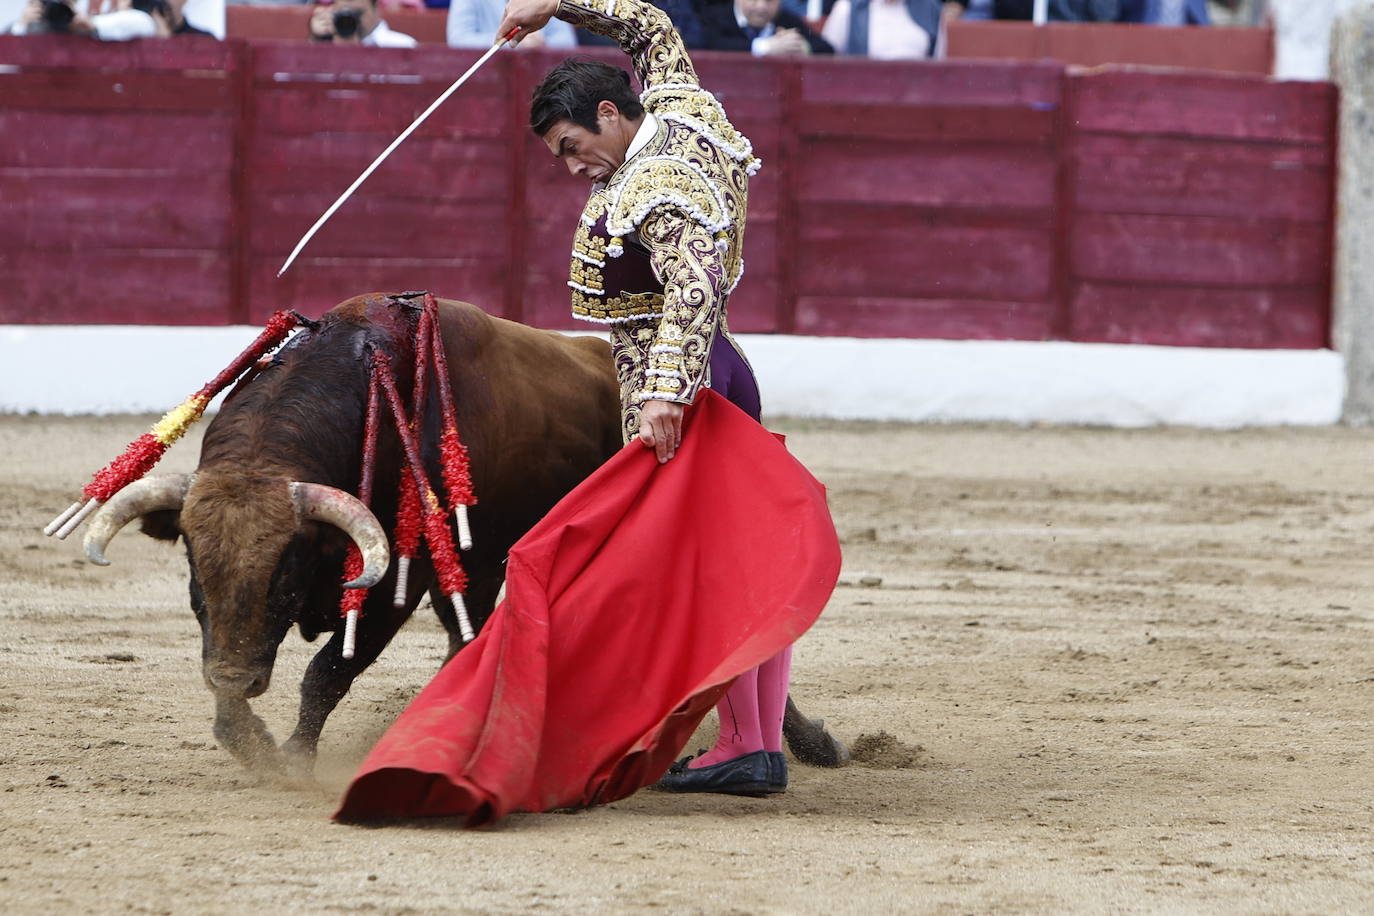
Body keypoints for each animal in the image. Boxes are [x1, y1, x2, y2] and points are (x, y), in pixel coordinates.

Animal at [80, 292, 846, 774]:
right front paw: (253, 742)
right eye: (193, 570)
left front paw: (295, 761)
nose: (236, 676)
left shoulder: (397, 576)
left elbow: (329, 672)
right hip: (484, 564)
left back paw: (809, 745)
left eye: (287, 575)